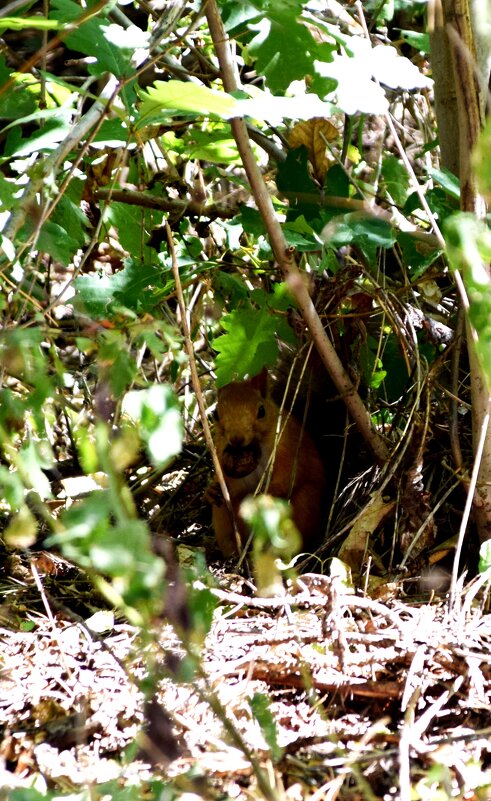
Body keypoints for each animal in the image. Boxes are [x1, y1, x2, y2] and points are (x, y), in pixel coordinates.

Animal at [209, 368, 326, 556]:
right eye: (216, 414)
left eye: (261, 411)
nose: (236, 439)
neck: (258, 445)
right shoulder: (222, 454)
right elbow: (235, 484)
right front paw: (212, 489)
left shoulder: (290, 448)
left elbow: (289, 476)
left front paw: (266, 495)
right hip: (222, 517)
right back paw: (234, 553)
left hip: (304, 506)